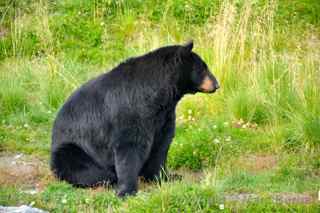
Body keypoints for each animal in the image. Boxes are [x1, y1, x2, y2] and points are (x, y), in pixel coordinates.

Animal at [50, 41, 220, 196]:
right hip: (73, 148)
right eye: (203, 68)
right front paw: (127, 191)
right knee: (81, 168)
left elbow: (161, 145)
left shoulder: (164, 117)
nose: (217, 84)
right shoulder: (131, 112)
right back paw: (108, 178)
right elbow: (129, 147)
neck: (159, 97)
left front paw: (166, 177)